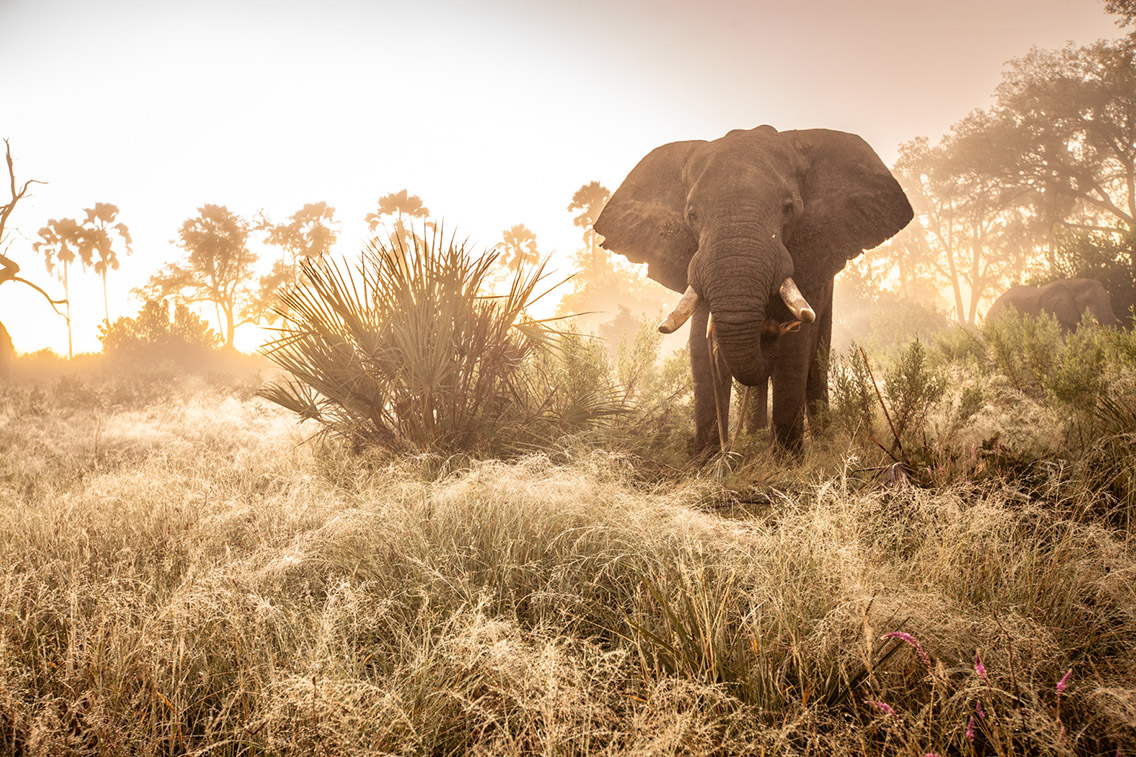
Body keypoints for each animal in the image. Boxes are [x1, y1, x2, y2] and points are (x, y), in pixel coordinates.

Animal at [593, 125, 913, 454]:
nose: (770, 329)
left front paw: (786, 461)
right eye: (692, 215)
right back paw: (754, 438)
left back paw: (822, 444)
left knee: (816, 363)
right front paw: (707, 460)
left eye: (789, 208)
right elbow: (700, 350)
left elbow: (795, 353)